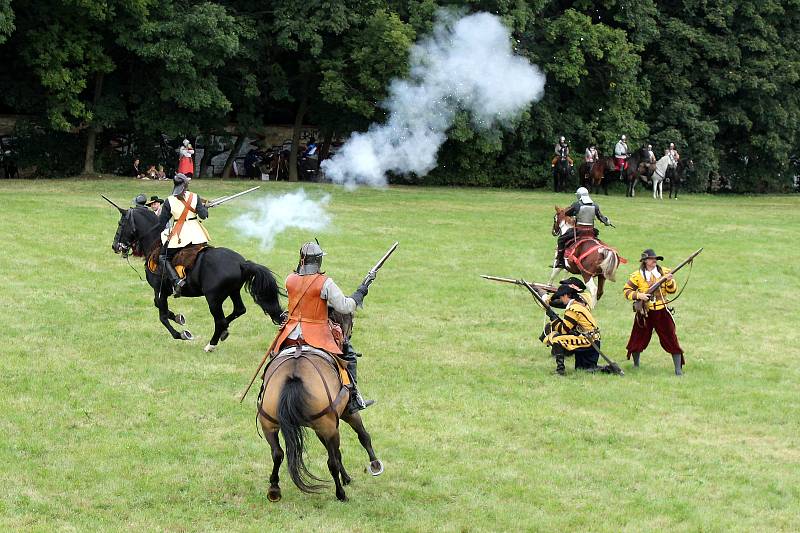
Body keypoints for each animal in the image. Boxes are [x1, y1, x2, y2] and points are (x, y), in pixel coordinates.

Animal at [108, 200, 284, 350]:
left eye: (120, 224)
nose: (115, 246)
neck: (155, 245)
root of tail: (241, 262)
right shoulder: (162, 292)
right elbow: (160, 308)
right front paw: (178, 318)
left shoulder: (160, 290)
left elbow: (162, 316)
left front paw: (182, 334)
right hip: (233, 292)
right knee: (239, 310)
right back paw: (224, 332)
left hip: (213, 299)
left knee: (220, 321)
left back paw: (211, 344)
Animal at [256, 342, 382, 500]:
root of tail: (293, 376)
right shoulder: (345, 415)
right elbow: (363, 436)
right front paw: (375, 464)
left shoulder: (320, 429)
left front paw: (346, 477)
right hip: (329, 427)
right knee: (332, 461)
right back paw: (341, 494)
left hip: (269, 425)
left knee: (277, 454)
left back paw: (274, 489)